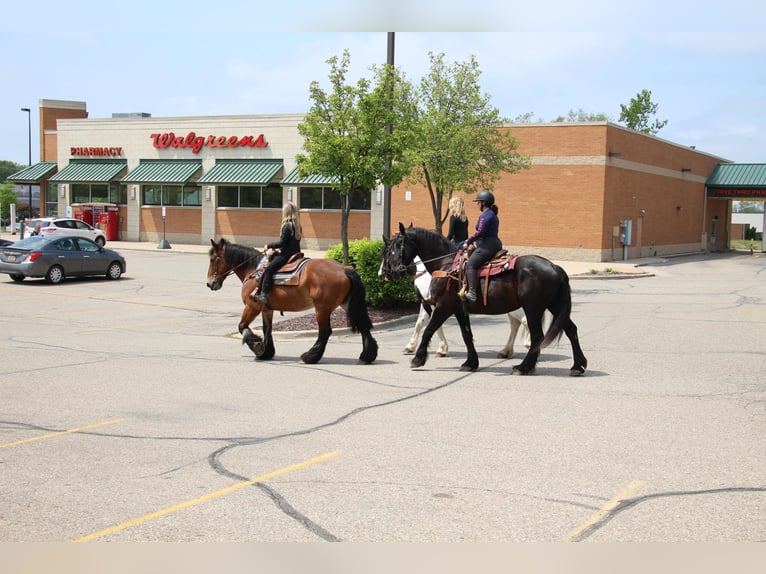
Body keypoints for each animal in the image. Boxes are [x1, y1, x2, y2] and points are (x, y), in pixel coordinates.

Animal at [208, 237, 380, 364]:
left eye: (212, 259)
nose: (210, 283)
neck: (253, 270)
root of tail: (345, 269)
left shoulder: (252, 306)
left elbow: (242, 326)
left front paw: (257, 346)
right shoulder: (266, 308)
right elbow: (267, 329)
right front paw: (266, 352)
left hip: (322, 308)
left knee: (325, 332)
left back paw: (310, 357)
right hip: (347, 303)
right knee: (363, 326)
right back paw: (367, 356)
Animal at [382, 225, 588, 378]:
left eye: (395, 247)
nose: (388, 273)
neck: (446, 266)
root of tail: (555, 267)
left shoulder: (442, 307)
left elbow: (428, 330)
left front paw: (418, 359)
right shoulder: (458, 309)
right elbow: (466, 335)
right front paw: (470, 362)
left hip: (533, 309)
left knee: (537, 335)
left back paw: (523, 367)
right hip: (554, 307)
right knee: (571, 330)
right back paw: (577, 366)